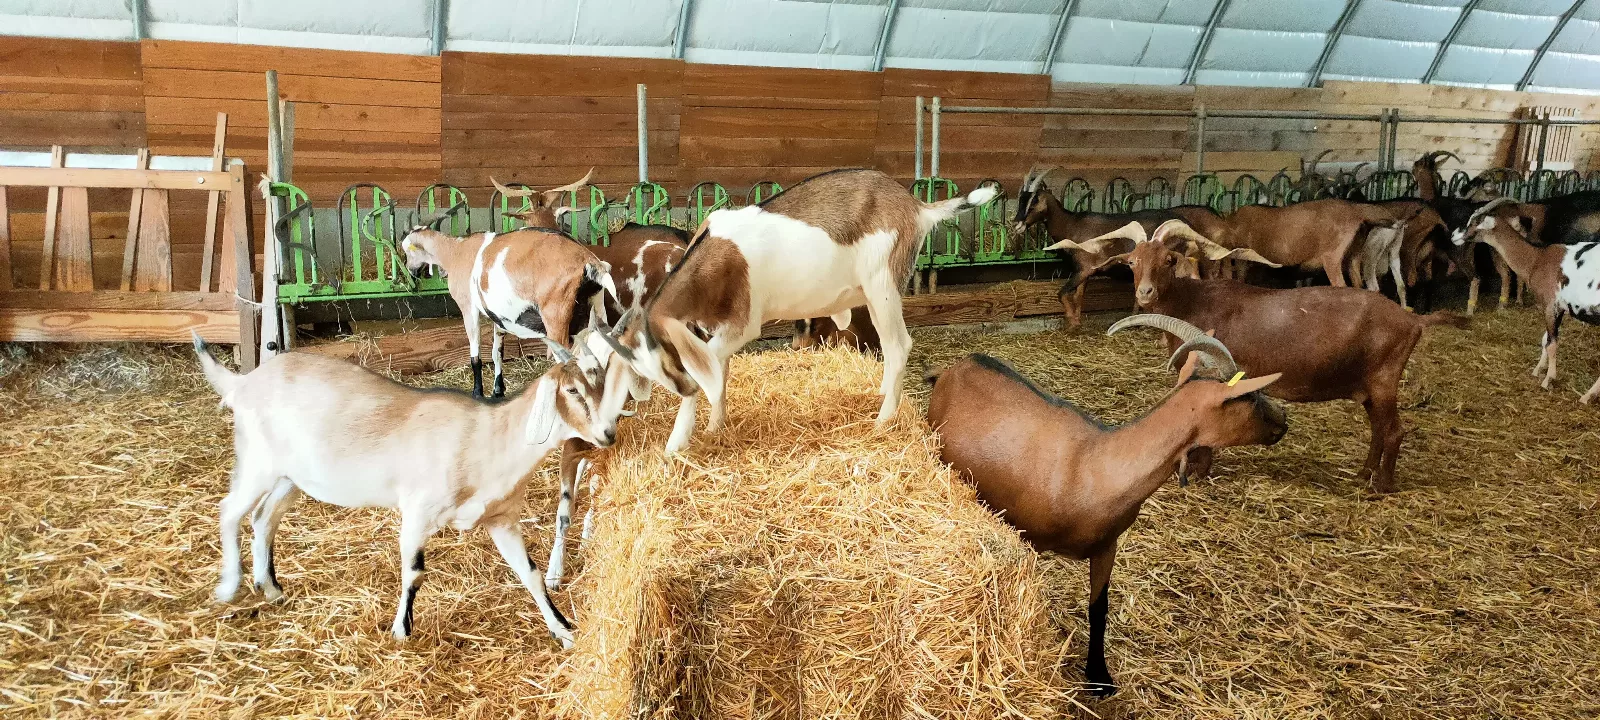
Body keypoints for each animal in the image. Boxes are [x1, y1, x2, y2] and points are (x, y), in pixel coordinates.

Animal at [194, 326, 626, 646]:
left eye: (602, 385)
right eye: (571, 390)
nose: (608, 433)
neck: (485, 436)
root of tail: (242, 383)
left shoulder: (501, 519)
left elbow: (531, 574)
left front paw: (563, 631)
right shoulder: (417, 512)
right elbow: (414, 573)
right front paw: (402, 630)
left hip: (291, 477)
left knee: (264, 518)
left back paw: (271, 588)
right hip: (257, 463)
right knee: (229, 511)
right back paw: (229, 586)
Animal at [600, 168, 997, 454]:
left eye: (668, 361)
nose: (681, 388)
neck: (716, 259)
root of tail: (916, 207)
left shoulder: (743, 325)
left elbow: (713, 366)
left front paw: (677, 442)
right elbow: (720, 371)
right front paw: (715, 427)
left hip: (882, 283)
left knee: (900, 345)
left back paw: (882, 421)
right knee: (889, 346)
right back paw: (882, 397)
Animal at [927, 328, 1286, 697]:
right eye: (1251, 396)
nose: (1283, 421)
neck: (1094, 464)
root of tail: (953, 368)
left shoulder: (1106, 546)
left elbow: (1099, 609)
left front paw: (1099, 677)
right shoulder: (1029, 537)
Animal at [1084, 219, 1468, 492]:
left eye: (1168, 259)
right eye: (1132, 261)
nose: (1145, 292)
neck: (1192, 302)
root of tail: (1412, 320)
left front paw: (1199, 473)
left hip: (1385, 379)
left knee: (1394, 431)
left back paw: (1382, 486)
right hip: (1370, 386)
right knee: (1378, 428)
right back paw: (1363, 474)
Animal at [1452, 197, 1600, 402]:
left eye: (1474, 222)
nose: (1453, 236)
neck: (1537, 259)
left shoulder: (1550, 304)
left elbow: (1552, 343)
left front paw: (1548, 380)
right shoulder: (1559, 308)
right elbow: (1546, 339)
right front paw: (1537, 371)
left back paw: (1586, 396)